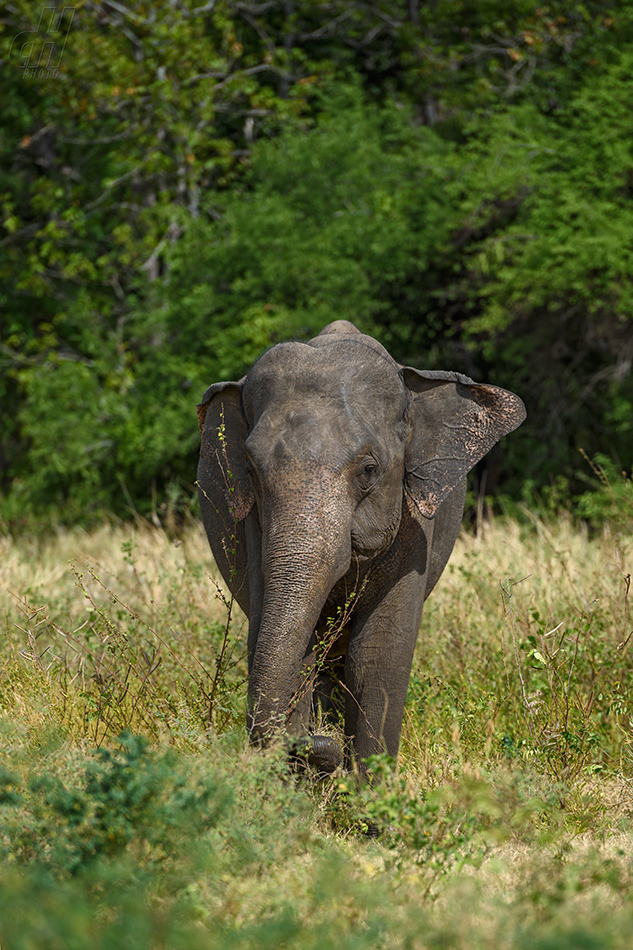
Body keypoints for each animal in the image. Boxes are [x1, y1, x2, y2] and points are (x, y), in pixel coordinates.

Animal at [196, 324, 524, 776]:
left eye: (369, 469)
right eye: (250, 470)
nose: (321, 747)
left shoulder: (414, 525)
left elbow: (376, 656)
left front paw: (366, 794)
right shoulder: (254, 528)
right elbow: (284, 641)